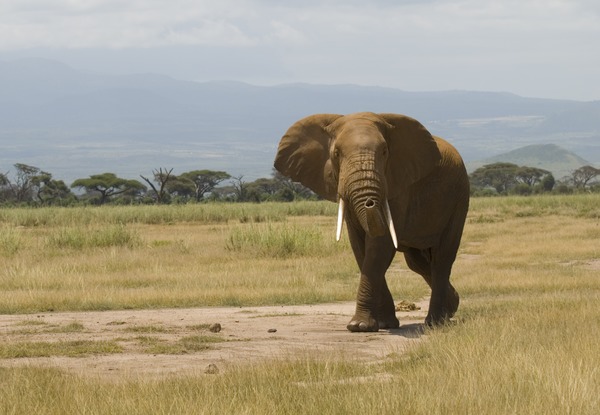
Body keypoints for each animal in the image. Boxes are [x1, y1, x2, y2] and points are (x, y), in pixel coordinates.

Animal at [274, 111, 472, 332]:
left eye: (385, 152)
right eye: (336, 153)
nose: (370, 203)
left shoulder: (399, 185)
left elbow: (379, 246)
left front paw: (359, 326)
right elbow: (360, 247)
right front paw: (383, 324)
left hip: (459, 198)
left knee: (442, 258)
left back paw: (435, 322)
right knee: (418, 263)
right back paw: (451, 307)